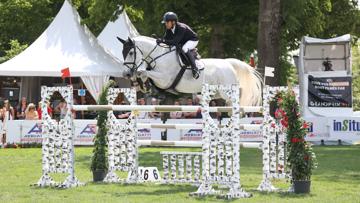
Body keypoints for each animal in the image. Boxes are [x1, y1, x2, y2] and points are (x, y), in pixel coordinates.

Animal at [118, 35, 262, 105]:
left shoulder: (164, 79)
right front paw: (142, 85)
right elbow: (144, 74)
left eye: (131, 53)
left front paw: (141, 79)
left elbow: (144, 72)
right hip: (215, 93)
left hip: (226, 91)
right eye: (123, 53)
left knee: (235, 100)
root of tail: (229, 64)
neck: (159, 55)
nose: (126, 73)